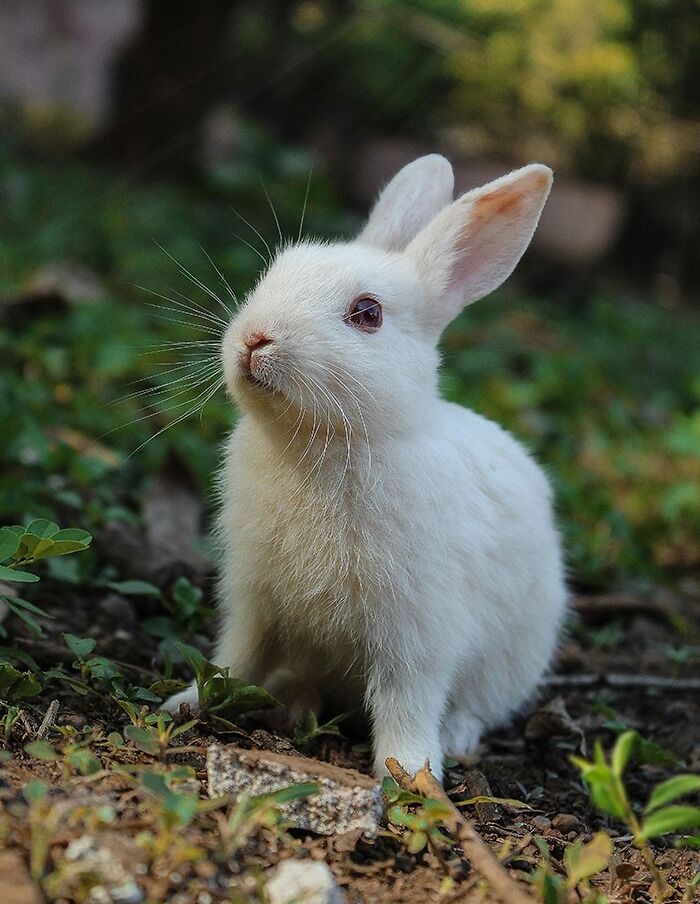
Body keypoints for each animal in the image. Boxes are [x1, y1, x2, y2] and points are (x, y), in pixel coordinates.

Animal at [164, 155, 568, 782]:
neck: (324, 441)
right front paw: (186, 702)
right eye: (275, 272)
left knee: (477, 705)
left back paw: (455, 738)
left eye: (368, 314)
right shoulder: (254, 600)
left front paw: (410, 774)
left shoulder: (416, 632)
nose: (255, 339)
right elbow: (236, 658)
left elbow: (406, 702)